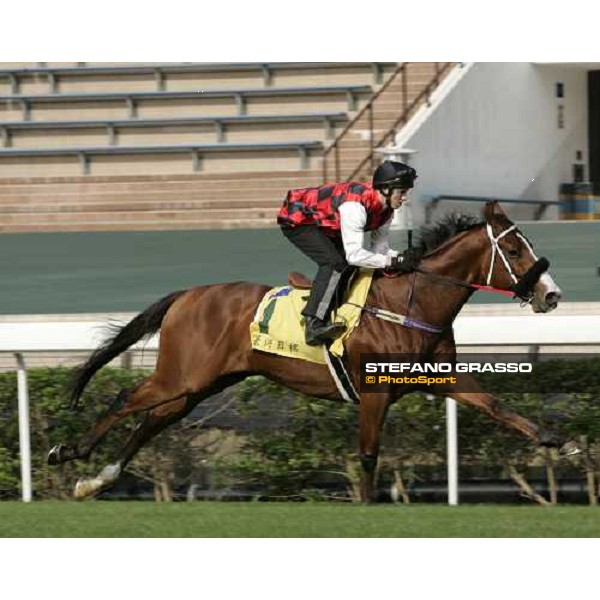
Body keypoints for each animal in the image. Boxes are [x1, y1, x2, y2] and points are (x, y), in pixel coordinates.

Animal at [48, 202, 572, 502]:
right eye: (517, 252)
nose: (551, 295)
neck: (413, 303)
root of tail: (187, 295)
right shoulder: (374, 393)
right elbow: (367, 454)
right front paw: (368, 508)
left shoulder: (438, 376)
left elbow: (497, 406)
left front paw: (558, 440)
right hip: (183, 376)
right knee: (126, 400)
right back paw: (67, 451)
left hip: (201, 385)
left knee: (152, 420)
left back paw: (96, 480)